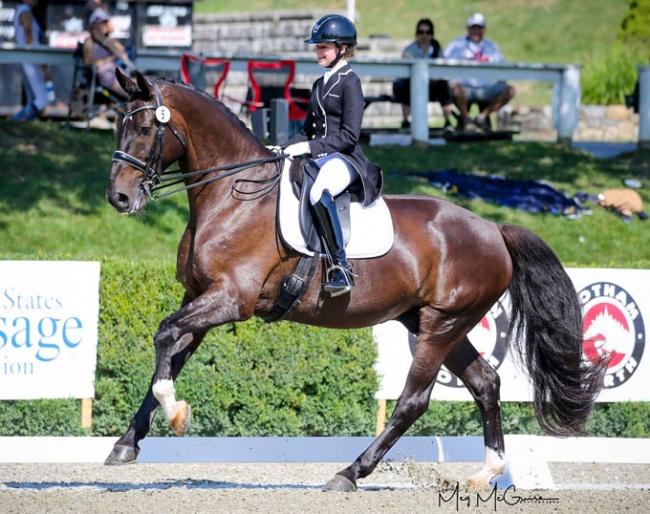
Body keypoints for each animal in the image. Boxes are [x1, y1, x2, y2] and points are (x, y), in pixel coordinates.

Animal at [102, 70, 604, 490]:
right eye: (117, 127)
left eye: (144, 129)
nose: (118, 198)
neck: (232, 195)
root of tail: (494, 229)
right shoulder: (201, 296)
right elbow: (169, 354)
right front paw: (127, 443)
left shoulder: (231, 299)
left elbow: (164, 334)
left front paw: (176, 414)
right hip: (433, 322)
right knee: (485, 383)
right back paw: (488, 472)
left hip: (442, 323)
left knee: (414, 400)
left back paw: (349, 473)